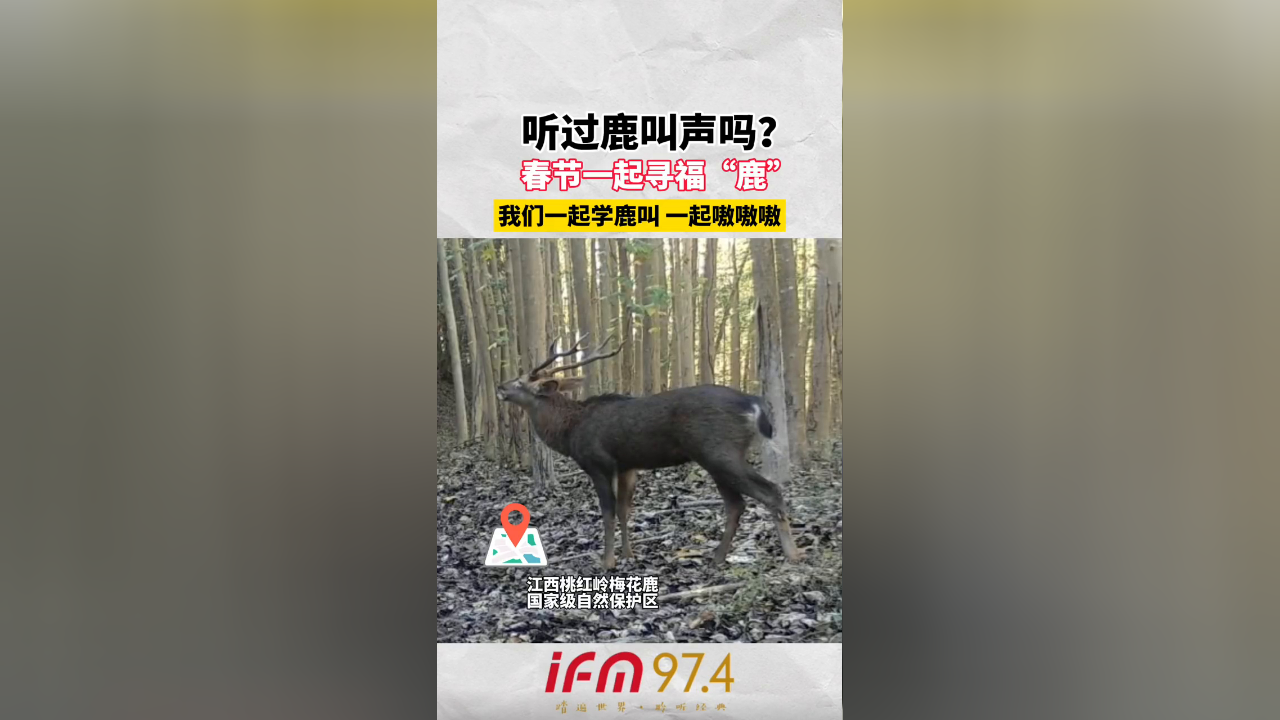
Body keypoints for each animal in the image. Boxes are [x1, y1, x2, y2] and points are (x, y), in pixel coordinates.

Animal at [496, 334, 803, 570]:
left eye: (521, 382)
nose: (500, 386)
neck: (569, 431)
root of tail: (754, 404)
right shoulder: (627, 466)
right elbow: (624, 510)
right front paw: (629, 555)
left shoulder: (598, 462)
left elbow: (608, 511)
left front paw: (607, 562)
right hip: (717, 456)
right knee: (737, 504)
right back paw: (718, 557)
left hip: (720, 450)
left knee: (769, 491)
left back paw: (791, 554)